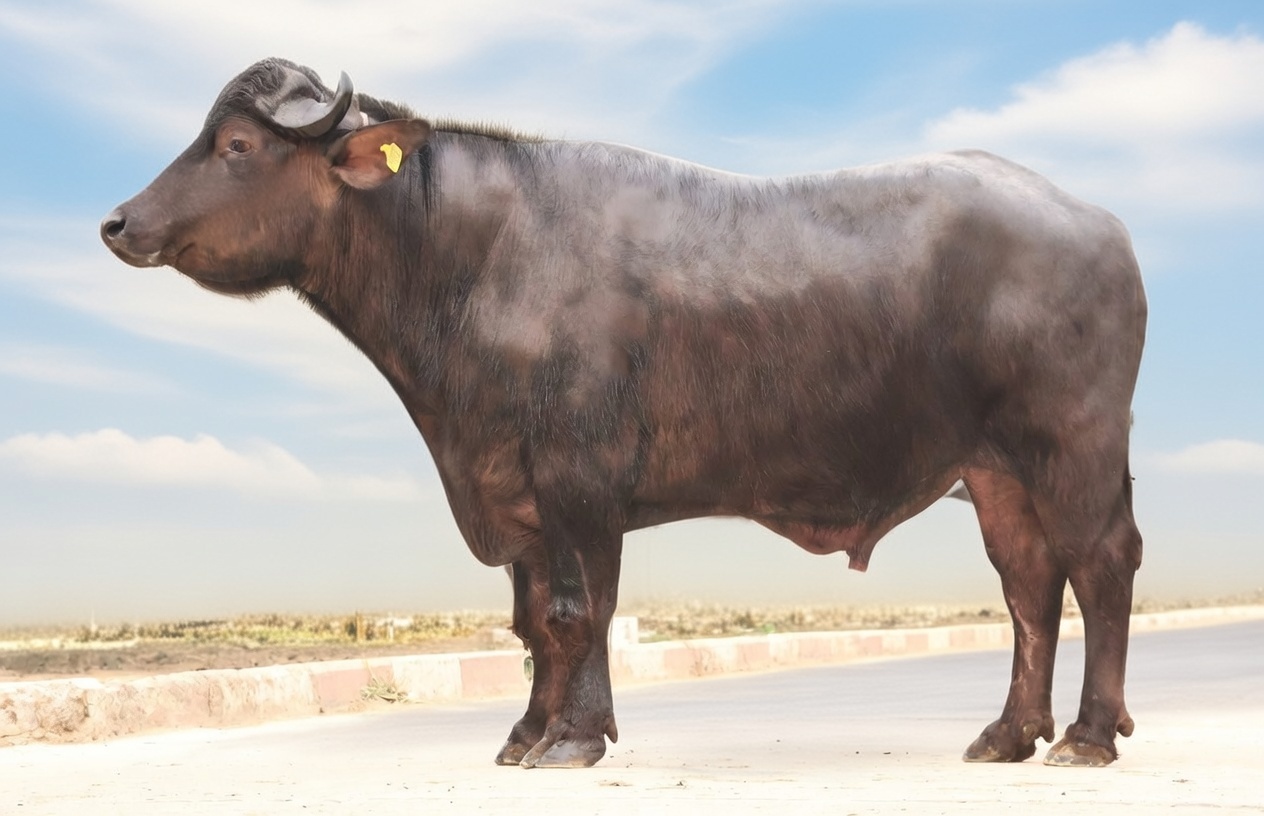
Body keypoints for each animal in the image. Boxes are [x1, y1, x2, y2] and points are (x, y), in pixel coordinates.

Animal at [101, 58, 1146, 769]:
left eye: (238, 147)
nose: (117, 222)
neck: (473, 258)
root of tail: (1097, 222)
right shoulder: (511, 485)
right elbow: (532, 621)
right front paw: (525, 733)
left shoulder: (578, 478)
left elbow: (580, 609)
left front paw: (575, 738)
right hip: (996, 470)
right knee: (1028, 586)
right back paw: (1009, 733)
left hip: (1074, 446)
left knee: (1100, 566)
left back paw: (1088, 736)